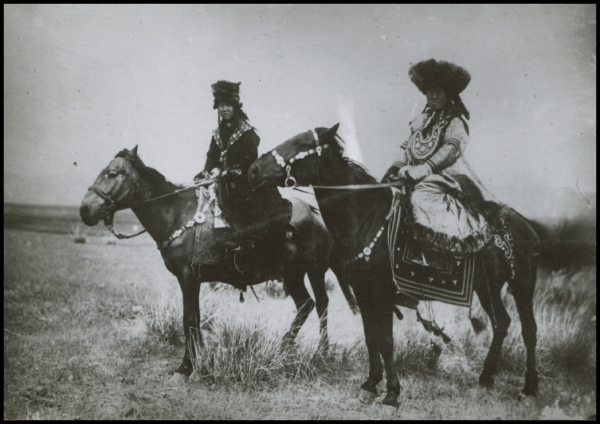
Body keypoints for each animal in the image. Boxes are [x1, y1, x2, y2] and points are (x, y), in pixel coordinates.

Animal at [78, 147, 358, 380]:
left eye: (113, 173)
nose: (84, 210)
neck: (176, 213)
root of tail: (317, 216)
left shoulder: (188, 277)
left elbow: (189, 319)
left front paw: (186, 367)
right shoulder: (193, 280)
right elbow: (196, 317)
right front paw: (197, 359)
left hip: (310, 271)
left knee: (317, 305)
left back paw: (312, 351)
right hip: (298, 274)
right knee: (310, 305)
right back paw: (294, 349)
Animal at [248, 125, 544, 408]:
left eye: (301, 143)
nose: (254, 169)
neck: (367, 218)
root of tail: (525, 225)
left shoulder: (382, 293)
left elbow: (386, 341)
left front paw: (392, 393)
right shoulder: (364, 292)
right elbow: (371, 338)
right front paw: (370, 385)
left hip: (522, 282)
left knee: (529, 330)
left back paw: (529, 389)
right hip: (487, 287)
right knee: (501, 322)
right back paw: (486, 377)